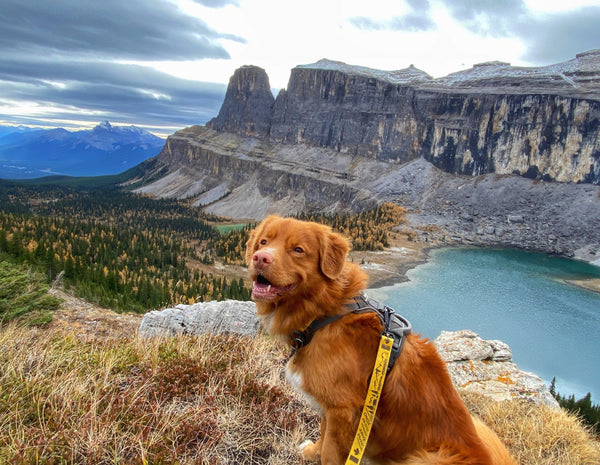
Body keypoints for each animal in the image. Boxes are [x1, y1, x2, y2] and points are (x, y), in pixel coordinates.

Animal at [245, 216, 516, 462]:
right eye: (264, 242)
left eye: (298, 250)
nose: (260, 258)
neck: (326, 313)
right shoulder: (330, 407)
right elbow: (322, 435)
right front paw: (312, 452)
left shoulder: (343, 411)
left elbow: (331, 453)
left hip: (430, 457)